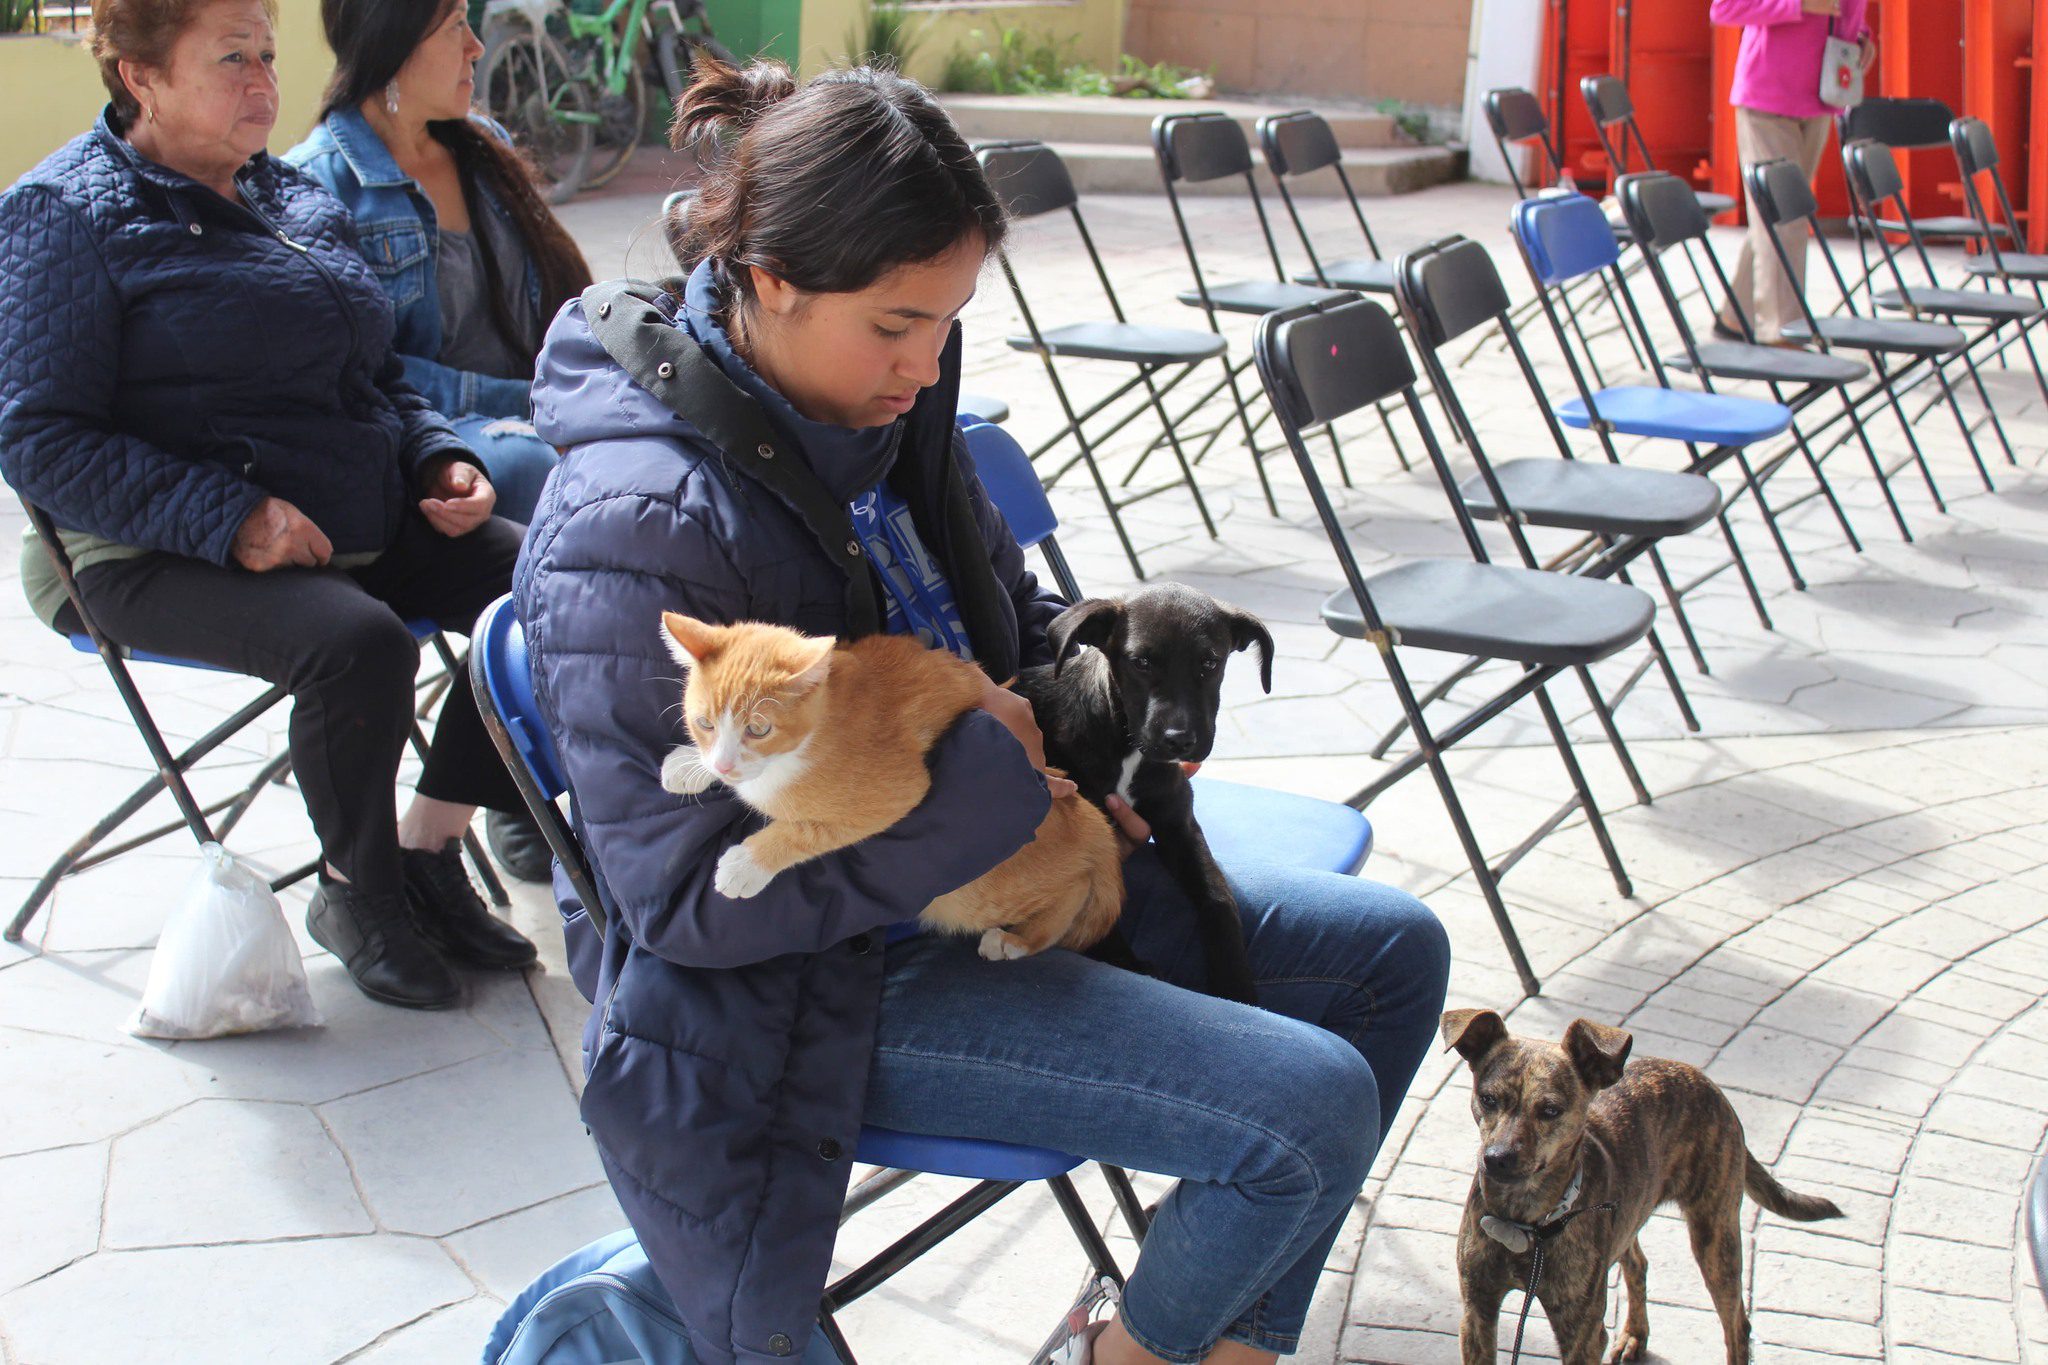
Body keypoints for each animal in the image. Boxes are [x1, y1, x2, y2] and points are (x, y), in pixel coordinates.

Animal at [655, 613, 1130, 965]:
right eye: (704, 723)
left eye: (758, 728)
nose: (723, 763)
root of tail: (1091, 821)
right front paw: (688, 767)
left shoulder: (897, 793)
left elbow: (810, 831)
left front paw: (745, 864)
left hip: (976, 894)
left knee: (1075, 887)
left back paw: (1016, 941)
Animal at [1015, 581, 1269, 1010]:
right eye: (1142, 662)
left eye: (1210, 663)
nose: (1180, 740)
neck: (1128, 751)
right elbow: (1093, 908)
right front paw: (1129, 964)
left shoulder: (1178, 827)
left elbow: (1219, 898)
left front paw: (1237, 985)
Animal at [1441, 1010, 1843, 1358]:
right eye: (1488, 1099)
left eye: (1550, 1110)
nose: (1496, 1158)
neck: (1525, 1222)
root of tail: (1705, 1081)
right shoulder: (1477, 1314)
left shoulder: (1582, 1334)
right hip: (1630, 1218)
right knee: (1638, 1263)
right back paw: (1635, 1334)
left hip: (1716, 1240)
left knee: (1737, 1326)